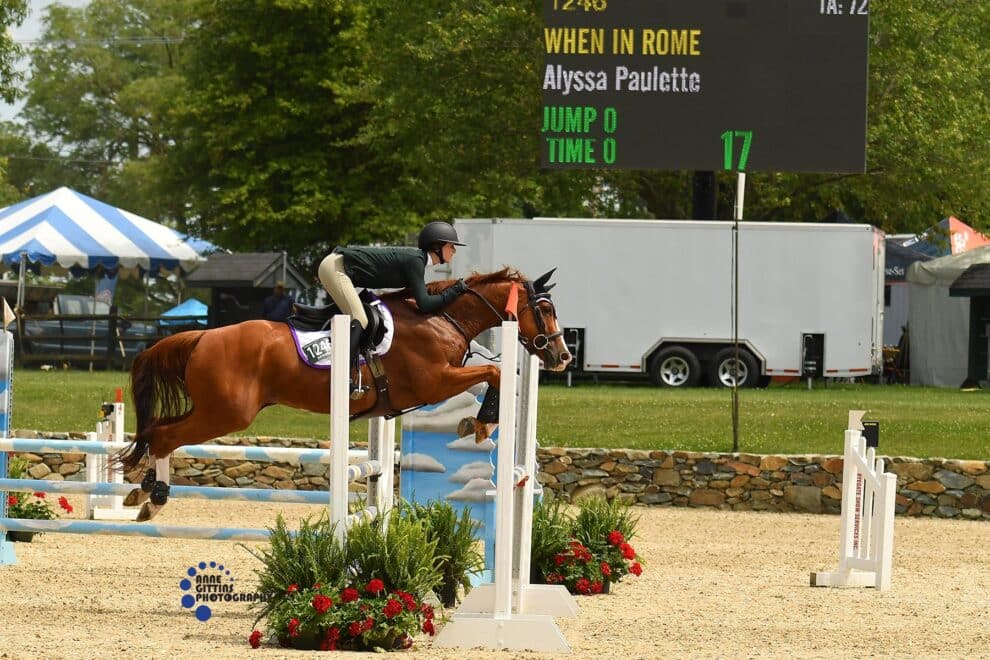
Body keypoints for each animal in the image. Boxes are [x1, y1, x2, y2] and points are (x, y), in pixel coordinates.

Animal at [122, 266, 572, 520]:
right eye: (545, 308)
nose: (562, 356)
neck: (441, 318)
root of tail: (201, 337)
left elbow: (493, 372)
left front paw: (476, 423)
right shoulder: (435, 381)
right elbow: (494, 371)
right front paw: (480, 424)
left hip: (214, 409)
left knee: (156, 430)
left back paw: (140, 489)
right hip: (227, 413)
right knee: (164, 436)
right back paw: (155, 499)